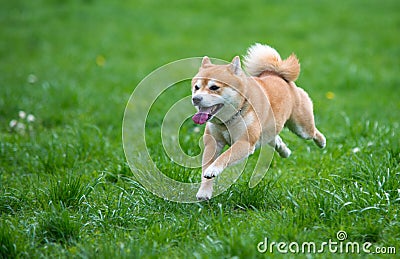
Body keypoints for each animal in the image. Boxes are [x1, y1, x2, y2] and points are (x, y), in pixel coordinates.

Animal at [191, 44, 324, 201]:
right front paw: (204, 192)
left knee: (313, 132)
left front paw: (213, 169)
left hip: (302, 128)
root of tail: (275, 74)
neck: (228, 120)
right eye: (196, 87)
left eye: (214, 87)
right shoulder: (213, 142)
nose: (196, 99)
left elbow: (225, 156)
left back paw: (321, 142)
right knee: (275, 139)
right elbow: (206, 168)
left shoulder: (244, 142)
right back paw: (284, 150)